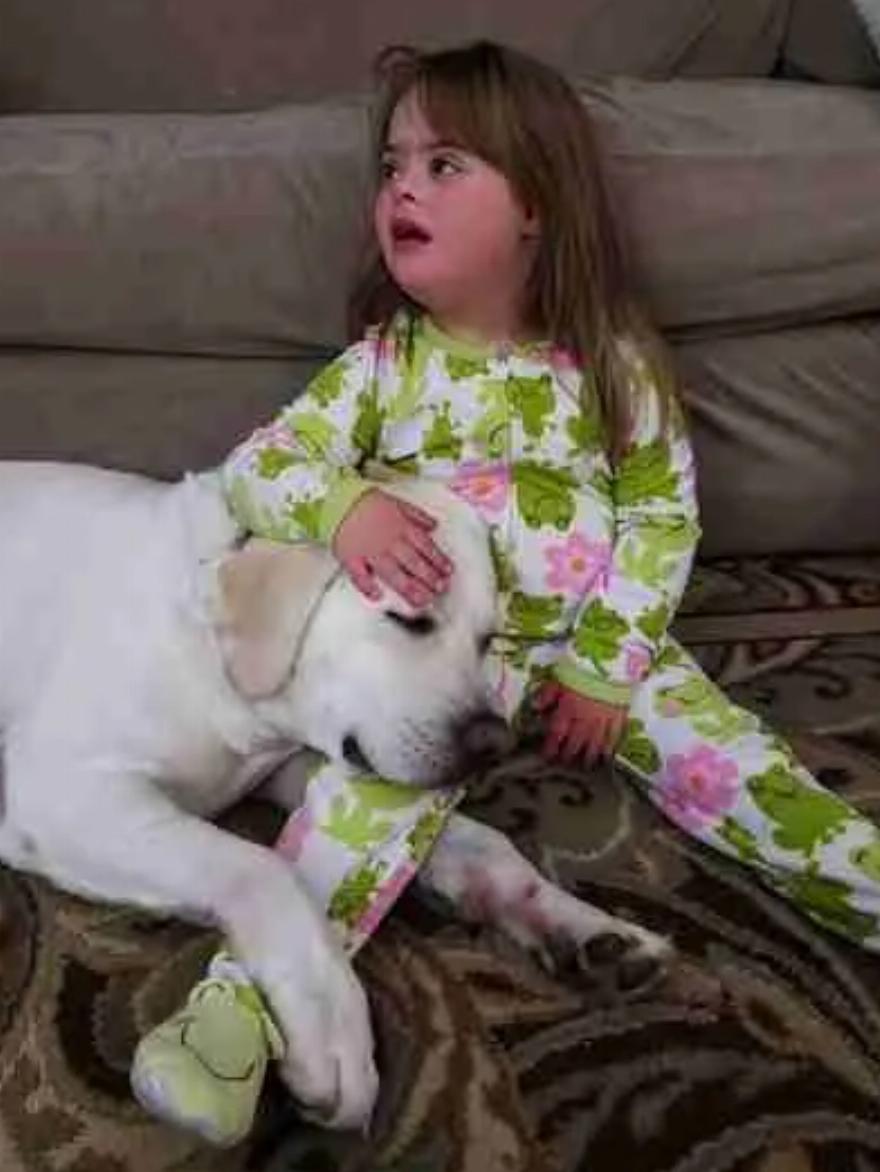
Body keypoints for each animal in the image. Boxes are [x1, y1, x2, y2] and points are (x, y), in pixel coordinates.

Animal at [0, 460, 670, 1129]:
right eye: (410, 621)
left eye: (487, 641)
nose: (494, 744)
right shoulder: (62, 793)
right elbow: (263, 868)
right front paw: (333, 1026)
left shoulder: (289, 765)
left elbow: (483, 842)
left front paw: (583, 927)